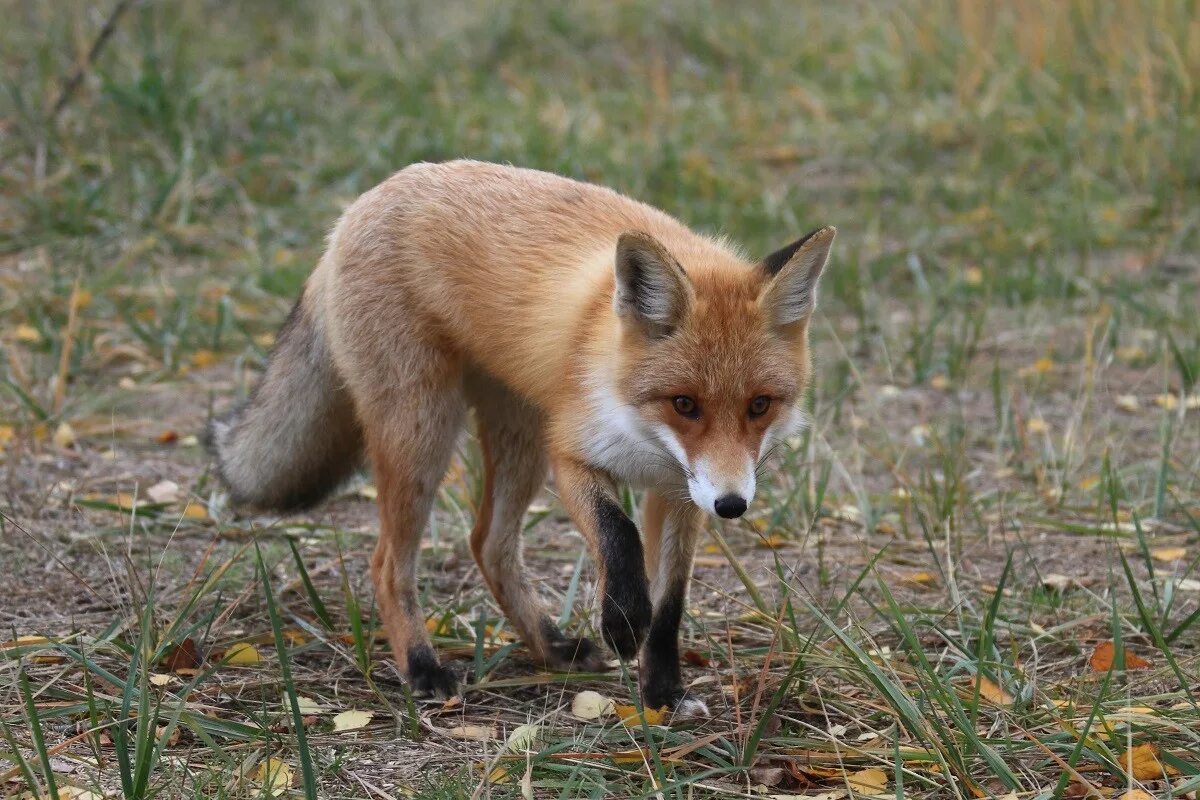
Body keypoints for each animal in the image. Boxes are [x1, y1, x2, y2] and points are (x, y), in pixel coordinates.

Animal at [208, 159, 835, 714]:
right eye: (685, 404)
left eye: (759, 405)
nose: (732, 506)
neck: (640, 429)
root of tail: (361, 205)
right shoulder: (573, 453)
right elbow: (619, 533)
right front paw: (621, 622)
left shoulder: (679, 491)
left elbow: (670, 604)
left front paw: (663, 692)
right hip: (426, 432)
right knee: (387, 564)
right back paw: (422, 667)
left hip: (519, 438)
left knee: (487, 544)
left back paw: (550, 646)